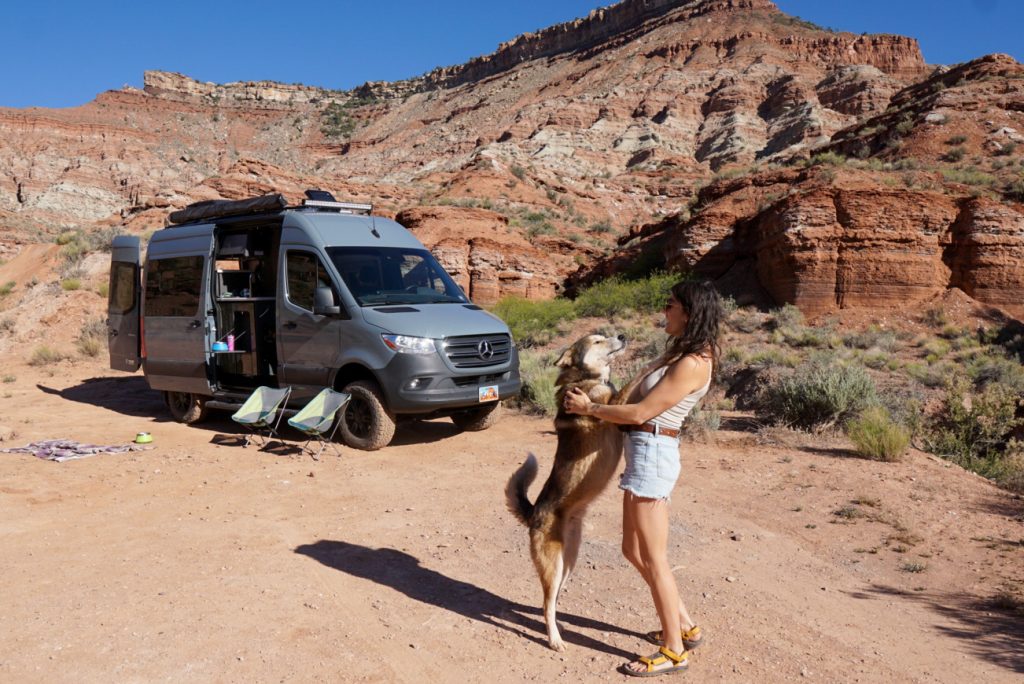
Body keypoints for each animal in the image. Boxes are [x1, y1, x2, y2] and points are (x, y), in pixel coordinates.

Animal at [501, 331, 622, 651]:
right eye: (597, 341)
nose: (622, 335)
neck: (586, 379)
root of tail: (533, 514)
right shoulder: (614, 405)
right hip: (553, 566)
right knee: (546, 604)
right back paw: (555, 640)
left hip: (568, 563)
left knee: (551, 601)